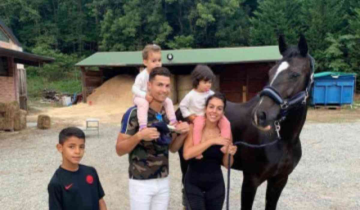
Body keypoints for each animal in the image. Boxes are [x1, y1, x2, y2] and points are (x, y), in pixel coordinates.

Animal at [177, 35, 316, 209]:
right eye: (270, 72)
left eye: (295, 74)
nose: (260, 115)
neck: (283, 140)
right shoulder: (251, 181)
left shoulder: (279, 180)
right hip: (185, 161)